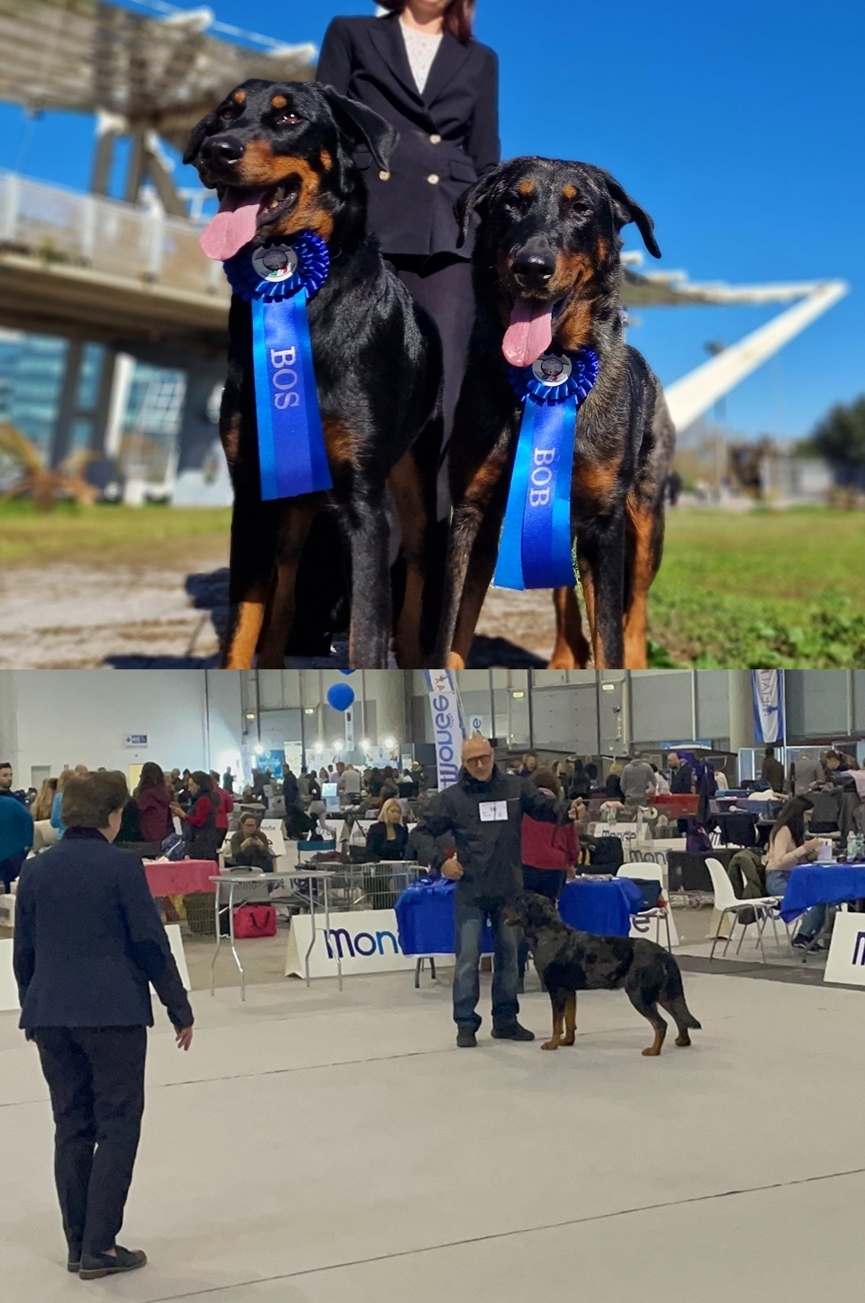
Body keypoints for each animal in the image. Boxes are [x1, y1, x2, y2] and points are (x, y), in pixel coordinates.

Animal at [181, 80, 440, 667]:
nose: (216, 150)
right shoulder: (252, 495)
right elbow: (243, 624)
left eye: (290, 118)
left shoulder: (364, 502)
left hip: (417, 480)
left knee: (415, 570)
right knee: (287, 578)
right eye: (225, 114)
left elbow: (366, 634)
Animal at [440, 157, 677, 672]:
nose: (532, 266)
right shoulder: (472, 511)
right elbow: (449, 633)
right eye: (512, 201)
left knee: (636, 607)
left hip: (647, 516)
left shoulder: (605, 523)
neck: (547, 368)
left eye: (581, 207)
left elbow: (610, 636)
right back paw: (565, 657)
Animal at [508, 891, 703, 1052]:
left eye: (519, 901)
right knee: (679, 1017)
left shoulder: (557, 991)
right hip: (663, 994)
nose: (503, 908)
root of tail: (664, 953)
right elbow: (570, 1020)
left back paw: (653, 1050)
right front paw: (568, 1041)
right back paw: (682, 1041)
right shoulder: (570, 991)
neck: (547, 934)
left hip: (639, 995)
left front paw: (552, 1044)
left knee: (661, 1024)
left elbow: (557, 1023)